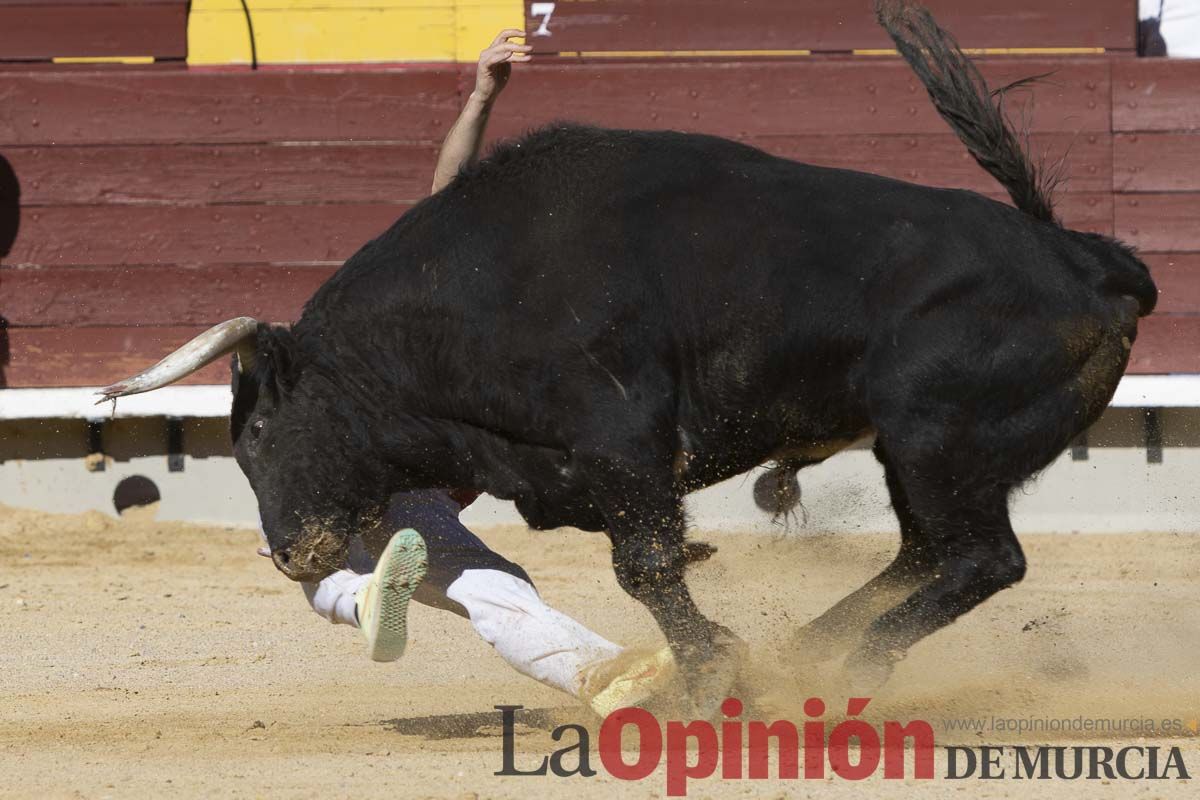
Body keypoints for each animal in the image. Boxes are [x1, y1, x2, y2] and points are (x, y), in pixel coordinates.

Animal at [100, 4, 1152, 705]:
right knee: (929, 551)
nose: (290, 554)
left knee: (983, 559)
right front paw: (721, 660)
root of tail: (1088, 265)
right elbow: (647, 564)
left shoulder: (624, 446)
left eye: (261, 432)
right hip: (923, 453)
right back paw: (810, 650)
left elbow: (644, 565)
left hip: (940, 437)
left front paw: (710, 670)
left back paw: (845, 660)